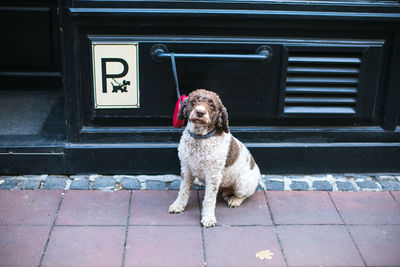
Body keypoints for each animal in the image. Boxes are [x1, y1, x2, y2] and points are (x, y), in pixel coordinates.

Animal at [167, 89, 260, 227]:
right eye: (194, 101)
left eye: (212, 105)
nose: (200, 112)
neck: (199, 138)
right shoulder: (186, 168)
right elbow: (183, 190)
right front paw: (178, 205)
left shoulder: (213, 175)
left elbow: (209, 199)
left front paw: (208, 218)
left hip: (242, 184)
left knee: (244, 194)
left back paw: (234, 200)